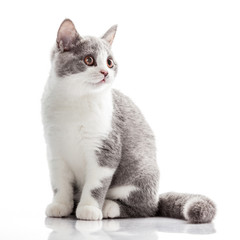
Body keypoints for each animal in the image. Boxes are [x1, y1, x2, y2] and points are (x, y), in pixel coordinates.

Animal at [42, 19, 217, 223]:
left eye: (109, 62)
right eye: (89, 60)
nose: (105, 72)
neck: (75, 101)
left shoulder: (106, 148)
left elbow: (96, 185)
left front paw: (89, 208)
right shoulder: (55, 149)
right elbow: (60, 183)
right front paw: (60, 205)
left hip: (141, 174)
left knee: (146, 208)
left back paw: (109, 206)